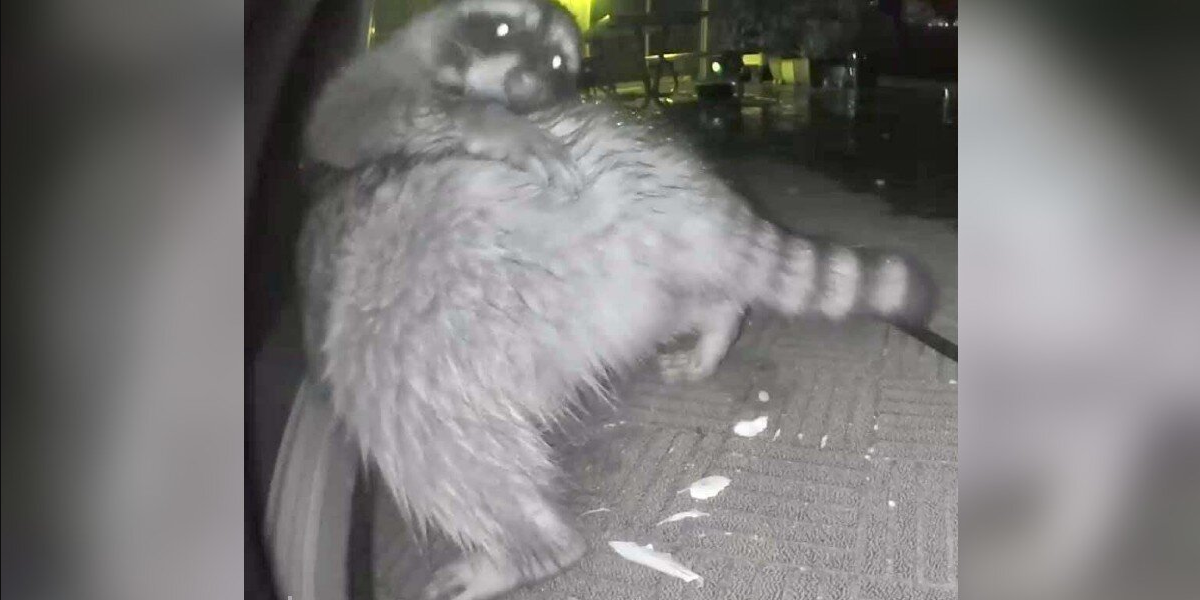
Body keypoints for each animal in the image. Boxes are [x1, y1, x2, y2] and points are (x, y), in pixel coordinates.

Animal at [303, 0, 585, 187]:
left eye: (556, 62)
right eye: (502, 29)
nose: (521, 84)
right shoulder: (385, 66)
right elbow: (340, 121)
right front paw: (495, 122)